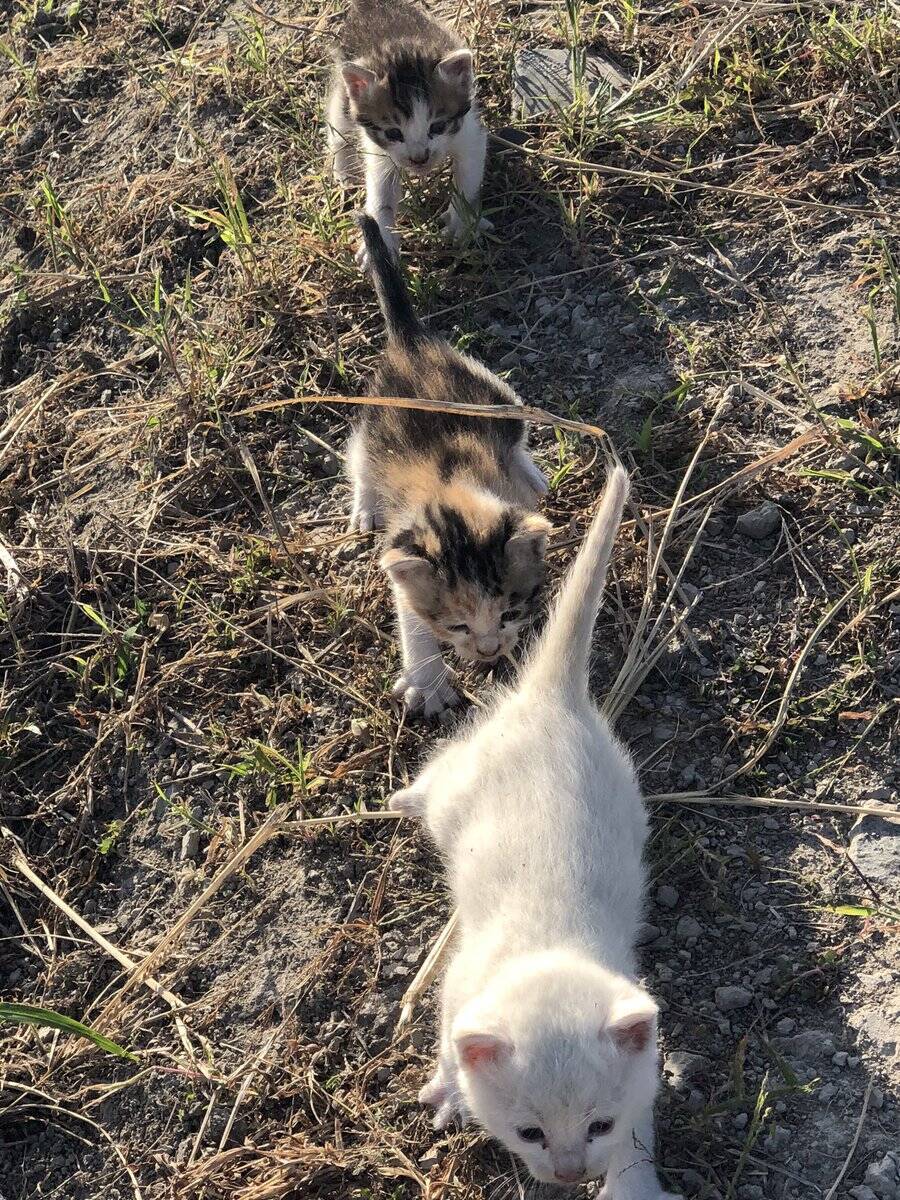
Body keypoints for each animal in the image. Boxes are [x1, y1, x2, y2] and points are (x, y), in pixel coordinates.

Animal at [350, 217, 549, 715]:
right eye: (457, 625)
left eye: (509, 613)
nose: (489, 651)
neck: (452, 489)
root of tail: (411, 345)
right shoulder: (403, 547)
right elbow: (411, 617)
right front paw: (429, 683)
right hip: (372, 419)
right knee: (357, 455)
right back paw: (364, 505)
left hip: (497, 396)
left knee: (516, 432)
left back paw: (530, 472)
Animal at [391, 470, 681, 1200]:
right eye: (529, 1133)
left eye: (600, 1125)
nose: (570, 1173)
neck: (550, 942)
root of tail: (553, 700)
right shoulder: (459, 989)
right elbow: (447, 1041)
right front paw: (449, 1091)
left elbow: (642, 1132)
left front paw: (632, 1185)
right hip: (459, 789)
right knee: (438, 774)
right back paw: (403, 796)